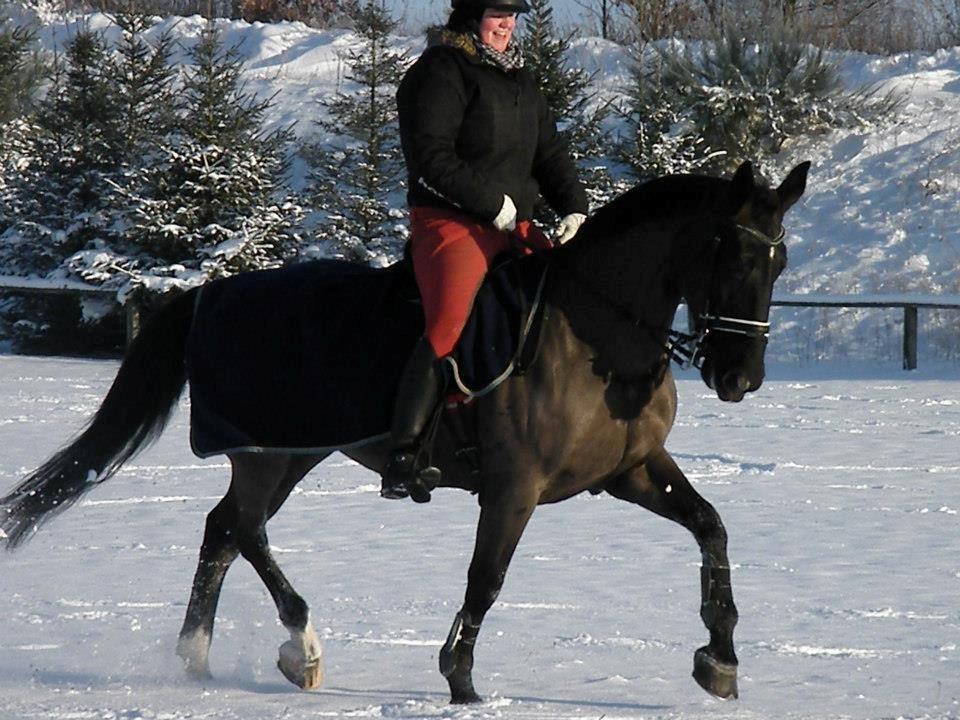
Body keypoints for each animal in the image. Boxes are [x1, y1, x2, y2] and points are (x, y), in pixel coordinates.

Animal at [0, 158, 808, 704]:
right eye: (732, 253)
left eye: (779, 260)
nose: (740, 377)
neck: (594, 331)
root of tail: (210, 293)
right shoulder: (514, 487)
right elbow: (486, 577)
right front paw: (460, 679)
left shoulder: (632, 471)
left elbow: (711, 528)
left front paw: (720, 656)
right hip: (267, 454)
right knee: (244, 529)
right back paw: (300, 647)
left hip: (292, 454)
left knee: (223, 532)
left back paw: (196, 661)